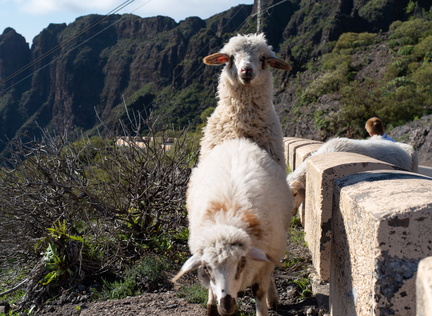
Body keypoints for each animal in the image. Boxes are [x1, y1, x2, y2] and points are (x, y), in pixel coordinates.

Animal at [173, 139, 294, 316]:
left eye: (242, 262)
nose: (226, 306)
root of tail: (238, 141)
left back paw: (272, 298)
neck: (227, 221)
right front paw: (212, 306)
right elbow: (211, 286)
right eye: (206, 267)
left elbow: (259, 291)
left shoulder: (265, 260)